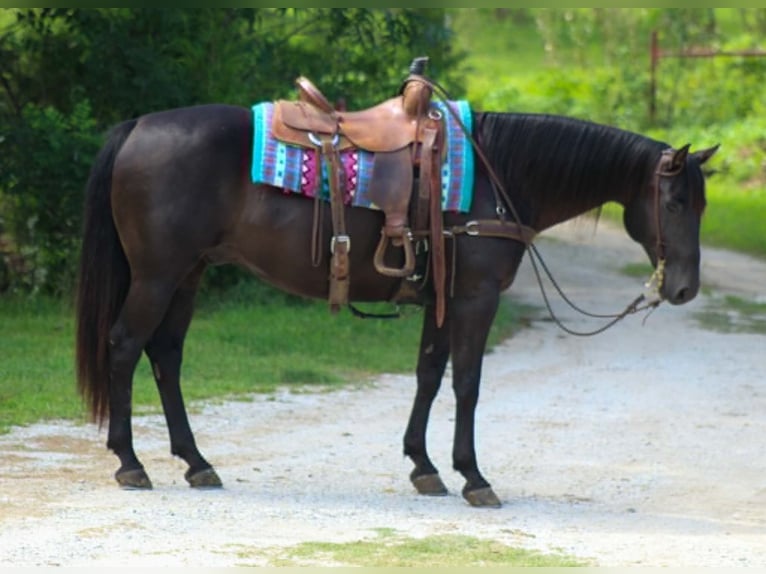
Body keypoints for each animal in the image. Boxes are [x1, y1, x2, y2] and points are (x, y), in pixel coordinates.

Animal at [74, 96, 717, 508]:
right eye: (675, 203)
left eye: (703, 204)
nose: (684, 288)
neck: (500, 174)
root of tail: (137, 126)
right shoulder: (474, 299)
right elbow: (467, 383)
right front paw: (473, 477)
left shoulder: (441, 299)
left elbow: (428, 376)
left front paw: (423, 466)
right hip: (158, 275)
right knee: (125, 347)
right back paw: (130, 463)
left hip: (187, 275)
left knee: (166, 356)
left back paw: (196, 462)